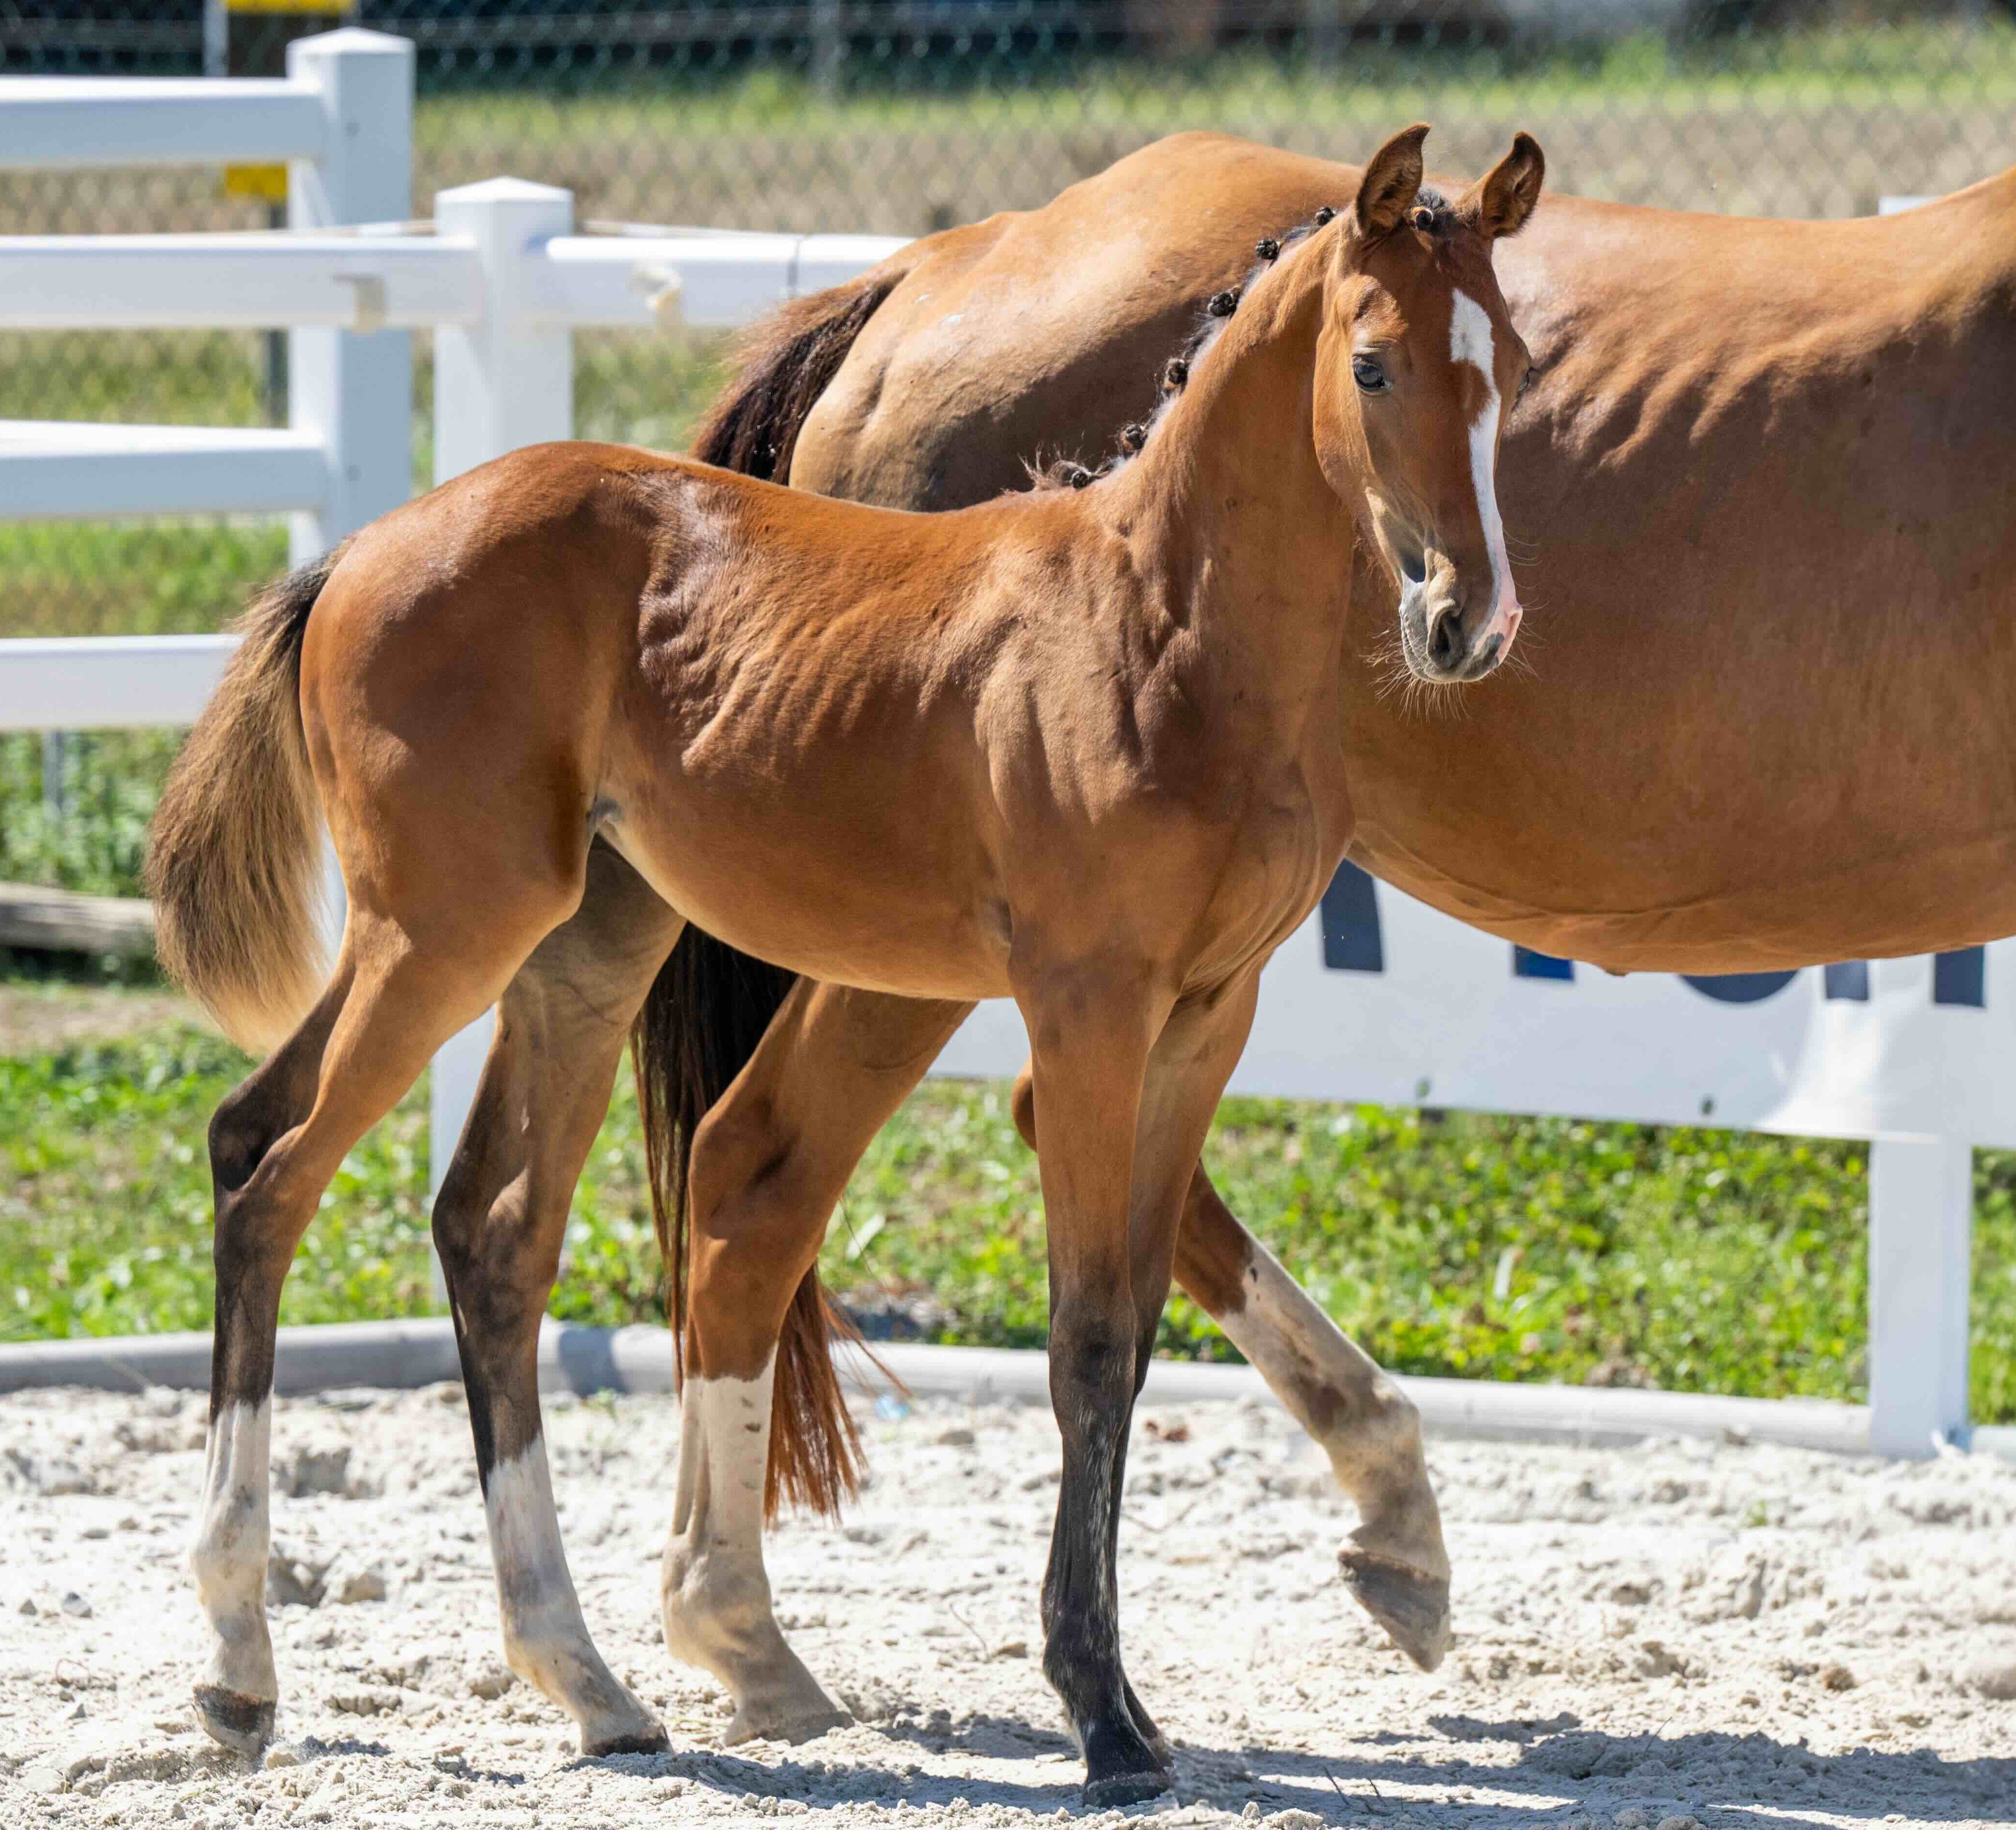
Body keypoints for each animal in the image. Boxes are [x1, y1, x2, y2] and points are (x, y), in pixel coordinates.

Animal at [147, 126, 1546, 1806]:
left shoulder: (1206, 1016)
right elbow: (1084, 1336)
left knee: (481, 1224)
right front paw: (1103, 1711)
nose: (1467, 621)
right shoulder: (1087, 1005)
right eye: (1372, 363)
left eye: (1515, 368)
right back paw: (239, 1668)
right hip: (446, 925)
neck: (1158, 628)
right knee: (270, 1169)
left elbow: (1139, 1330)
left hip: (582, 944)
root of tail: (362, 549)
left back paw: (591, 1682)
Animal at [618, 129, 2016, 1757]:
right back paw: (748, 1623)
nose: (1469, 615)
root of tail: (918, 276)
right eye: (1367, 369)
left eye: (1518, 371)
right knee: (779, 1164)